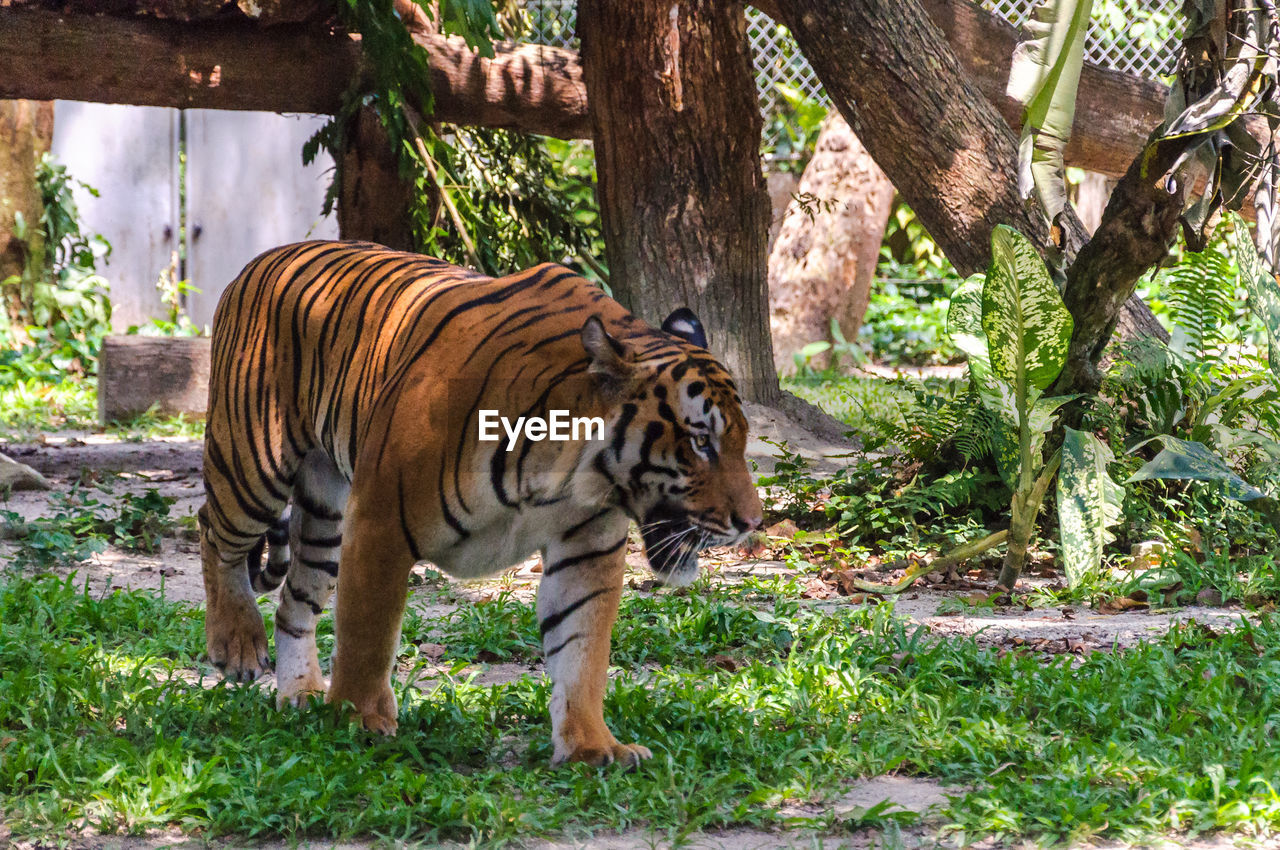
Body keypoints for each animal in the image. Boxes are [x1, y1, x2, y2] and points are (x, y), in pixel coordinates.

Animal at [195, 240, 762, 768]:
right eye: (700, 442)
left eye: (738, 440)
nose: (752, 522)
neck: (568, 470)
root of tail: (265, 258)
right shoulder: (380, 520)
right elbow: (367, 634)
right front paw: (359, 722)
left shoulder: (588, 548)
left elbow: (583, 650)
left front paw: (592, 746)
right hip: (254, 462)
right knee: (214, 530)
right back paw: (238, 645)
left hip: (325, 511)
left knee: (296, 599)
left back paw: (302, 694)